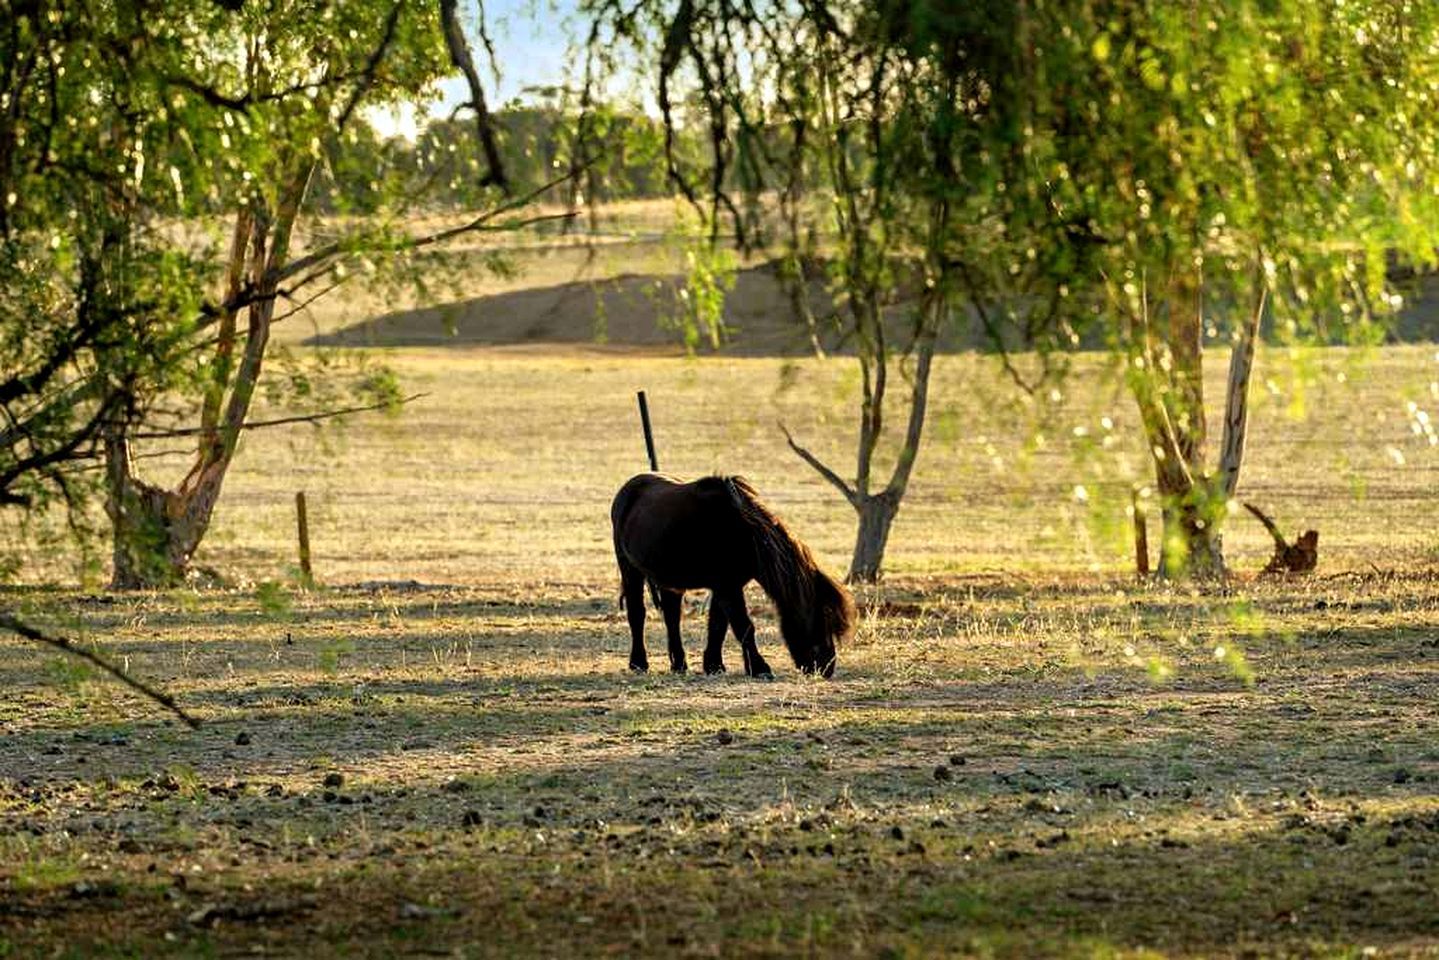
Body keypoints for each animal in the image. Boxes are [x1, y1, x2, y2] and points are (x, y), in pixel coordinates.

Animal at [610, 473, 856, 678]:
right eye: (820, 619)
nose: (826, 667)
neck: (742, 533)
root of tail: (627, 489)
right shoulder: (727, 588)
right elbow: (744, 626)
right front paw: (759, 668)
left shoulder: (725, 586)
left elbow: (718, 626)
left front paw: (714, 665)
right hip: (629, 569)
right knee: (637, 614)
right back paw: (639, 663)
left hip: (670, 581)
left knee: (672, 616)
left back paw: (679, 664)